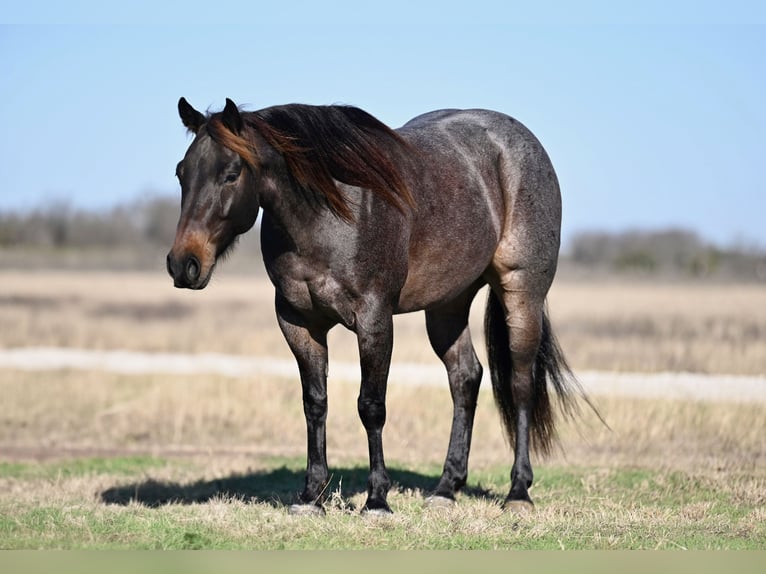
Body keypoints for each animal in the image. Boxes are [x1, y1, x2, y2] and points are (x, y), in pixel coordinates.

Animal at [168, 98, 584, 516]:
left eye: (231, 173)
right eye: (181, 172)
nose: (183, 264)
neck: (328, 215)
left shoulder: (374, 320)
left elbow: (371, 406)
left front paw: (377, 500)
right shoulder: (298, 322)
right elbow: (314, 403)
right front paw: (311, 496)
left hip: (521, 293)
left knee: (520, 383)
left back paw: (518, 492)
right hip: (447, 305)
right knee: (465, 377)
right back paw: (446, 488)